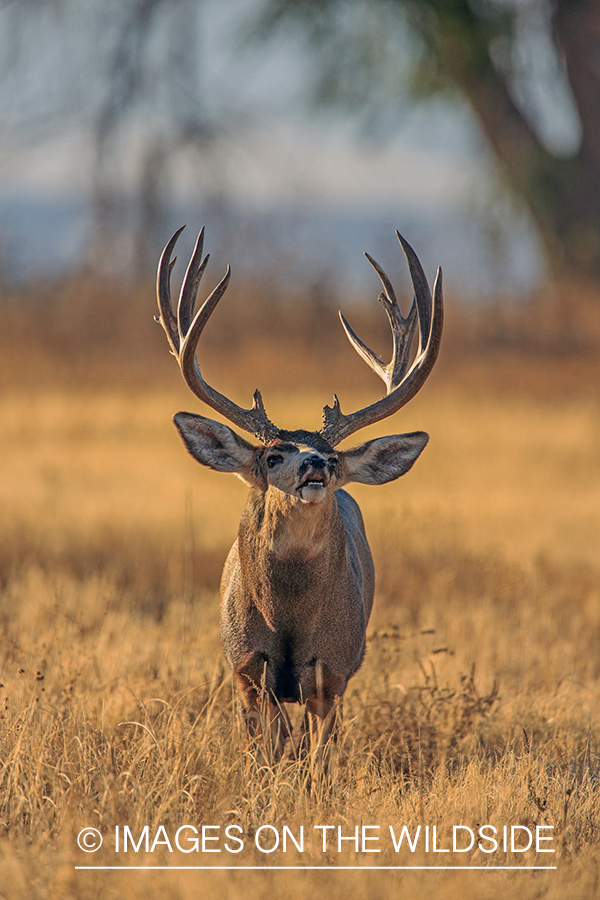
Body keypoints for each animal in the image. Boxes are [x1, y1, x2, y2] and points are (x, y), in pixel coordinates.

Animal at [156, 226, 443, 760]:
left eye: (333, 459)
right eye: (272, 457)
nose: (314, 466)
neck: (287, 617)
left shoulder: (331, 670)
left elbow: (317, 757)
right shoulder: (246, 668)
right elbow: (266, 751)